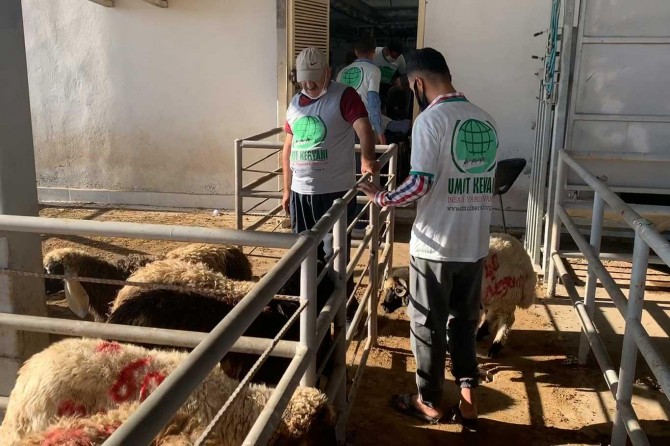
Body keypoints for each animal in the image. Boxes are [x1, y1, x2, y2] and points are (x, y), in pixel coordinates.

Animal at [380, 233, 537, 358]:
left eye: (395, 291)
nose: (383, 306)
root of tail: (528, 265)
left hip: (507, 296)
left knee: (507, 320)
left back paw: (495, 346)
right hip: (493, 296)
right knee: (492, 314)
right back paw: (482, 333)